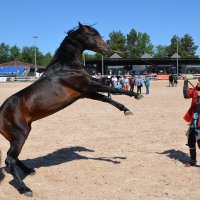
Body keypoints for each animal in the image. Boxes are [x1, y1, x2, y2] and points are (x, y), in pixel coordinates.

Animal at [0, 22, 143, 196]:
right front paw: (136, 95)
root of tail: (0, 112)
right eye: (92, 34)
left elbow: (107, 98)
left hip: (17, 135)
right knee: (9, 160)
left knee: (13, 158)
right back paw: (25, 189)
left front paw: (126, 109)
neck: (67, 67)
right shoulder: (87, 85)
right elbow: (115, 89)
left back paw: (29, 171)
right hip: (20, 134)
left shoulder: (85, 93)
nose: (106, 49)